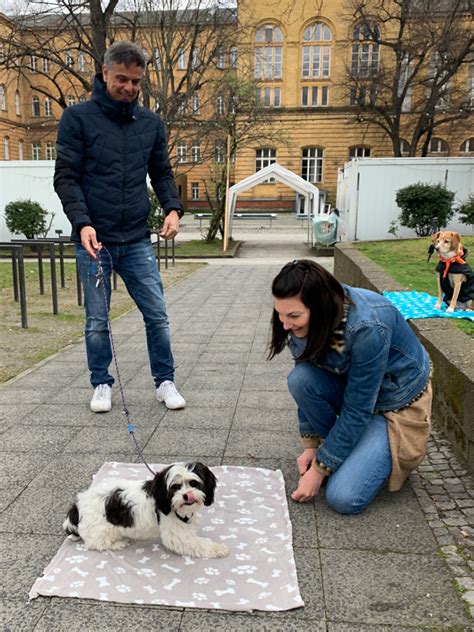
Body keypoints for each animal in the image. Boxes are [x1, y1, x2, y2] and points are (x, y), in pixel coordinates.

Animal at [63, 464, 230, 556]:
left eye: (194, 483)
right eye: (175, 487)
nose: (186, 495)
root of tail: (77, 507)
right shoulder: (174, 530)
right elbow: (194, 543)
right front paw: (218, 549)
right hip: (102, 528)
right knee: (96, 543)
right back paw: (117, 544)